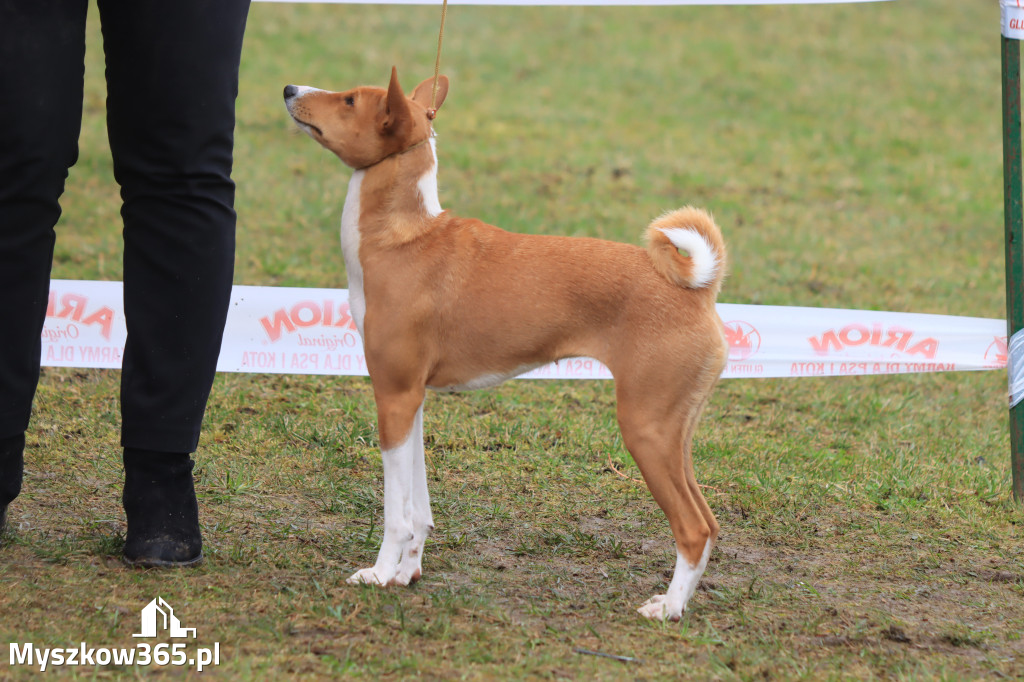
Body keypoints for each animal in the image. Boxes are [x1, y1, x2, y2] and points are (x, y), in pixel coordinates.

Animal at [280, 70, 729, 622]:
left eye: (348, 101)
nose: (289, 90)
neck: (403, 239)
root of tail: (700, 290)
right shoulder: (412, 399)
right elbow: (420, 508)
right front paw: (408, 572)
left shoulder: (393, 395)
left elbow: (396, 513)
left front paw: (381, 574)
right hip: (674, 433)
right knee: (708, 523)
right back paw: (675, 601)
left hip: (646, 429)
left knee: (692, 527)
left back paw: (668, 610)